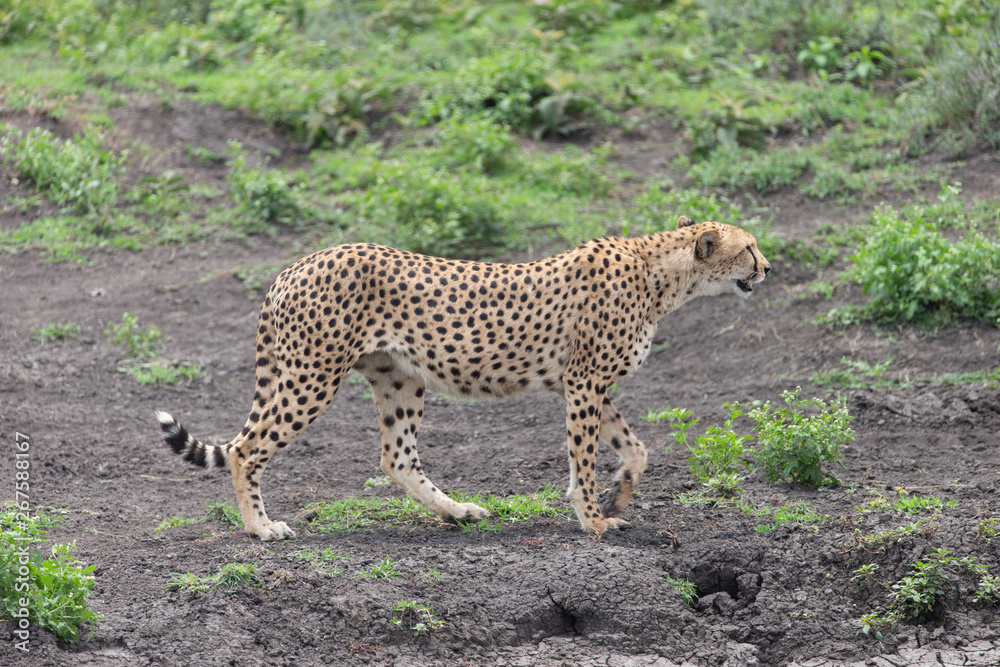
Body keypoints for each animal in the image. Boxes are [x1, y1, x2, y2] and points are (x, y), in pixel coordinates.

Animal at [155, 215, 770, 541]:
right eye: (749, 248)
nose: (767, 268)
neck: (660, 272)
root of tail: (299, 263)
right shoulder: (584, 383)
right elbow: (585, 458)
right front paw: (594, 520)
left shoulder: (581, 384)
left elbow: (637, 449)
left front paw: (618, 498)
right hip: (313, 375)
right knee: (246, 448)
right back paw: (261, 528)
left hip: (398, 377)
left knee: (396, 457)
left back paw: (459, 511)